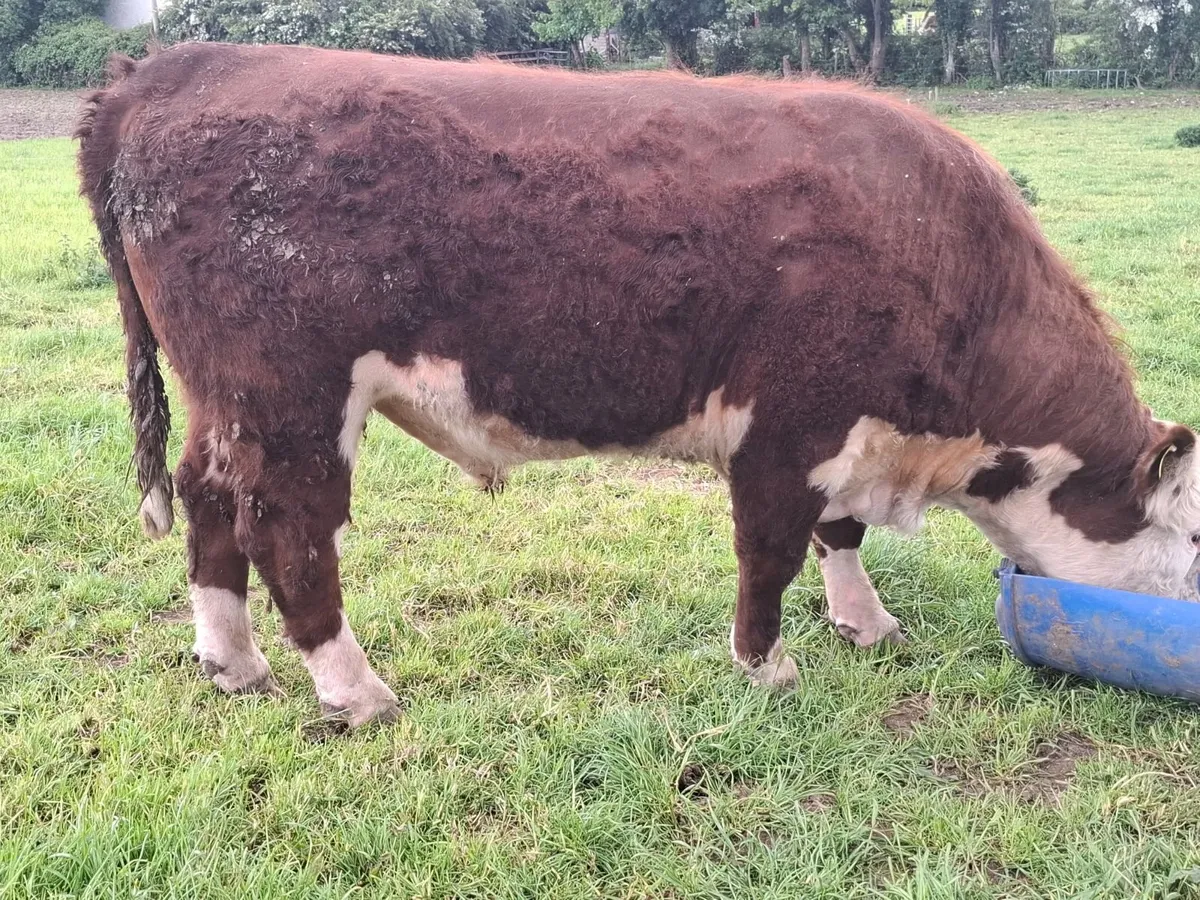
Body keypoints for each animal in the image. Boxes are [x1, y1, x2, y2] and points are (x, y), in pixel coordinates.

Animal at [77, 43, 1200, 727]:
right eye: (1192, 543)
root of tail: (171, 68)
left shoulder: (847, 429)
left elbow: (839, 533)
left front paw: (866, 623)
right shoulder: (787, 426)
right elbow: (771, 550)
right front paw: (765, 666)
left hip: (229, 403)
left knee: (208, 500)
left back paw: (233, 662)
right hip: (292, 400)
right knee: (287, 530)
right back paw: (353, 688)